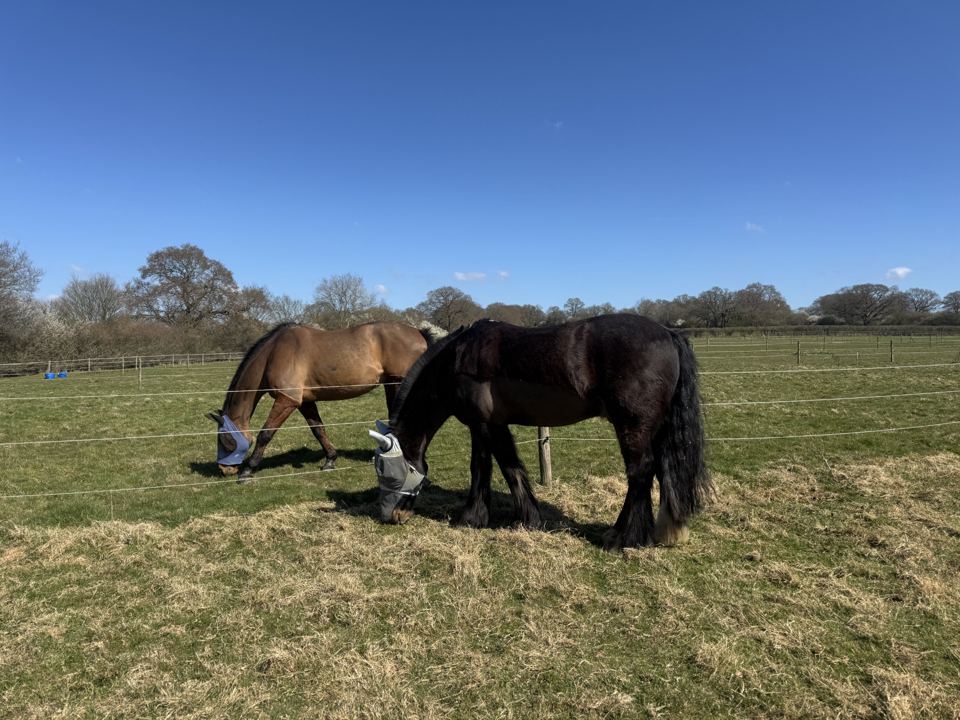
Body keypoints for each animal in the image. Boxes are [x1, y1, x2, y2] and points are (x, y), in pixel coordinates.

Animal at [208, 321, 433, 481]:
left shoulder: (286, 401)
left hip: (397, 384)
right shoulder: (305, 402)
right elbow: (318, 429)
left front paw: (248, 470)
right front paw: (330, 460)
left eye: (224, 438)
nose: (224, 470)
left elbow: (266, 434)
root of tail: (419, 332)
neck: (274, 353)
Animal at [368, 313, 710, 551]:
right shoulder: (480, 426)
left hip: (633, 427)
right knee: (660, 469)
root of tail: (669, 334)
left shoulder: (490, 426)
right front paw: (474, 517)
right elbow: (481, 466)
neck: (454, 362)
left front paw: (528, 519)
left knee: (640, 473)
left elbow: (508, 467)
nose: (390, 516)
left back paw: (622, 537)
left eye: (388, 474)